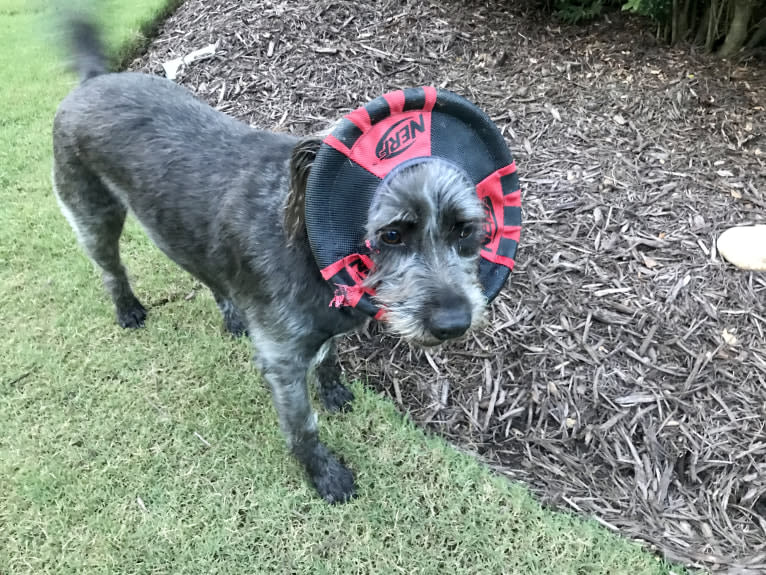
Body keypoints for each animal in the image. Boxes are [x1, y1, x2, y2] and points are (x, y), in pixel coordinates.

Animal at [52, 13, 486, 504]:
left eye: (464, 230)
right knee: (111, 267)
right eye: (392, 234)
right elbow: (303, 429)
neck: (310, 250)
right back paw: (127, 308)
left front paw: (334, 390)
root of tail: (94, 79)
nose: (454, 323)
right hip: (93, 213)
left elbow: (330, 357)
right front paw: (325, 475)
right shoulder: (282, 362)